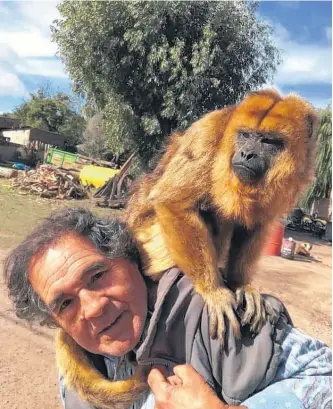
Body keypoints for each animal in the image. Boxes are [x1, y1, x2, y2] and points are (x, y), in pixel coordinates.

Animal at [123, 89, 316, 342]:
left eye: (267, 141)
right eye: (245, 135)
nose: (246, 153)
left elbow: (255, 224)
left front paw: (241, 284)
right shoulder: (207, 132)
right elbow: (173, 202)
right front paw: (213, 290)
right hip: (145, 240)